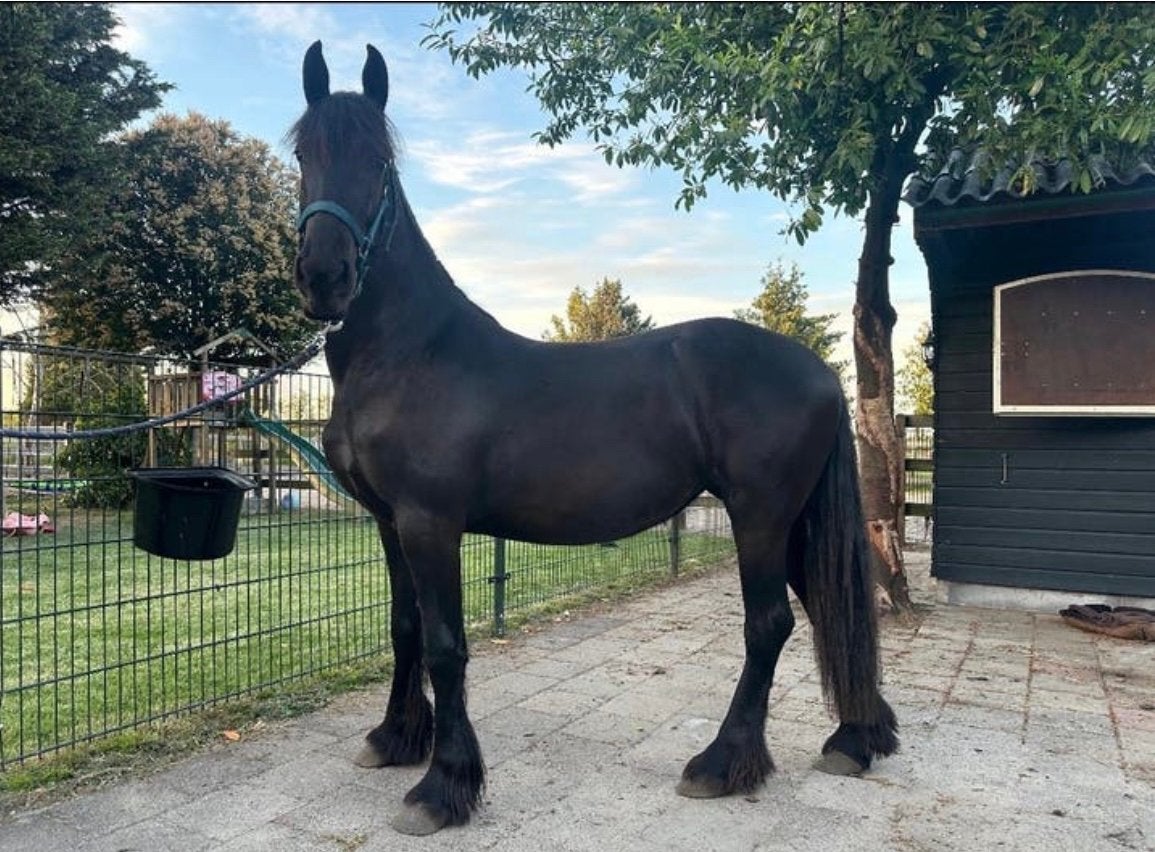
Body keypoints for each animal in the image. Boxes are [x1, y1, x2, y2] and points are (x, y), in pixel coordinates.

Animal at [289, 41, 898, 836]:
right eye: (303, 152)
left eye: (380, 162)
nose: (324, 276)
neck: (409, 351)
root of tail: (822, 372)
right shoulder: (389, 523)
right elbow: (404, 628)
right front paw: (394, 739)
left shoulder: (430, 523)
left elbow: (447, 646)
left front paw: (442, 786)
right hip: (794, 521)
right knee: (830, 607)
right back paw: (855, 740)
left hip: (761, 516)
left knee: (768, 624)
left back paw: (720, 764)